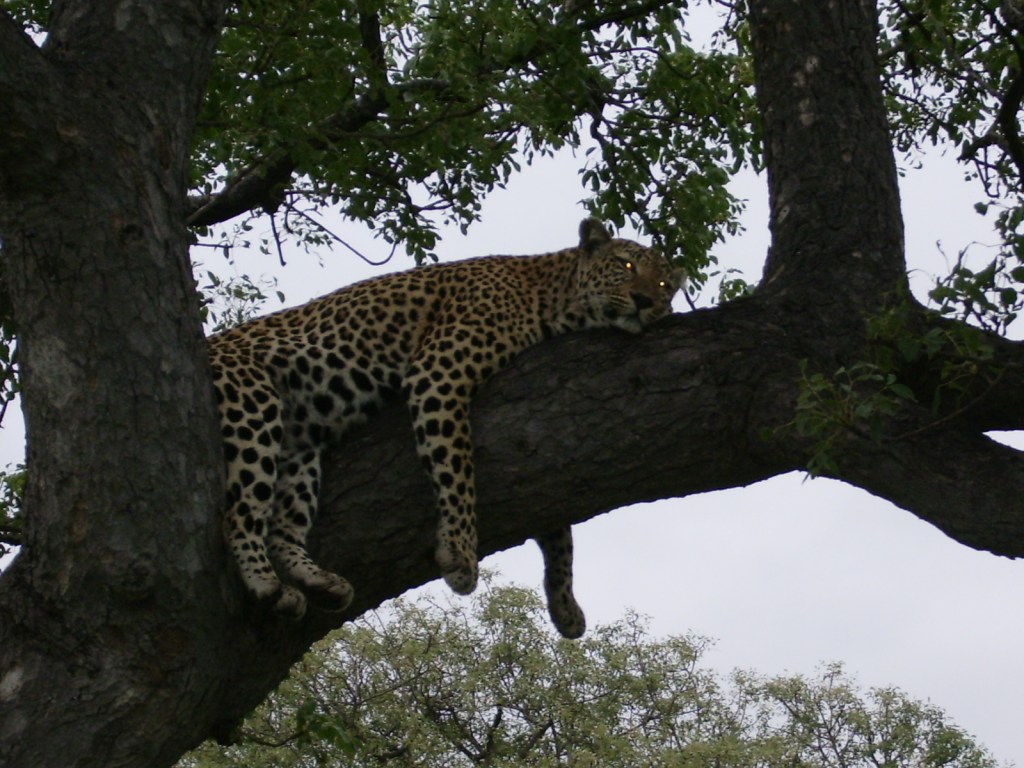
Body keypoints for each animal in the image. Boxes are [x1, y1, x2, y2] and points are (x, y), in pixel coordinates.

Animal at [211, 217, 683, 638]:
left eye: (664, 286)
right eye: (625, 265)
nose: (645, 300)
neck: (553, 296)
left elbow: (558, 530)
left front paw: (565, 604)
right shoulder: (439, 372)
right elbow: (457, 469)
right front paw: (459, 553)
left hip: (300, 448)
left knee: (281, 529)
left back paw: (317, 582)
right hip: (252, 400)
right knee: (241, 516)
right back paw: (265, 583)